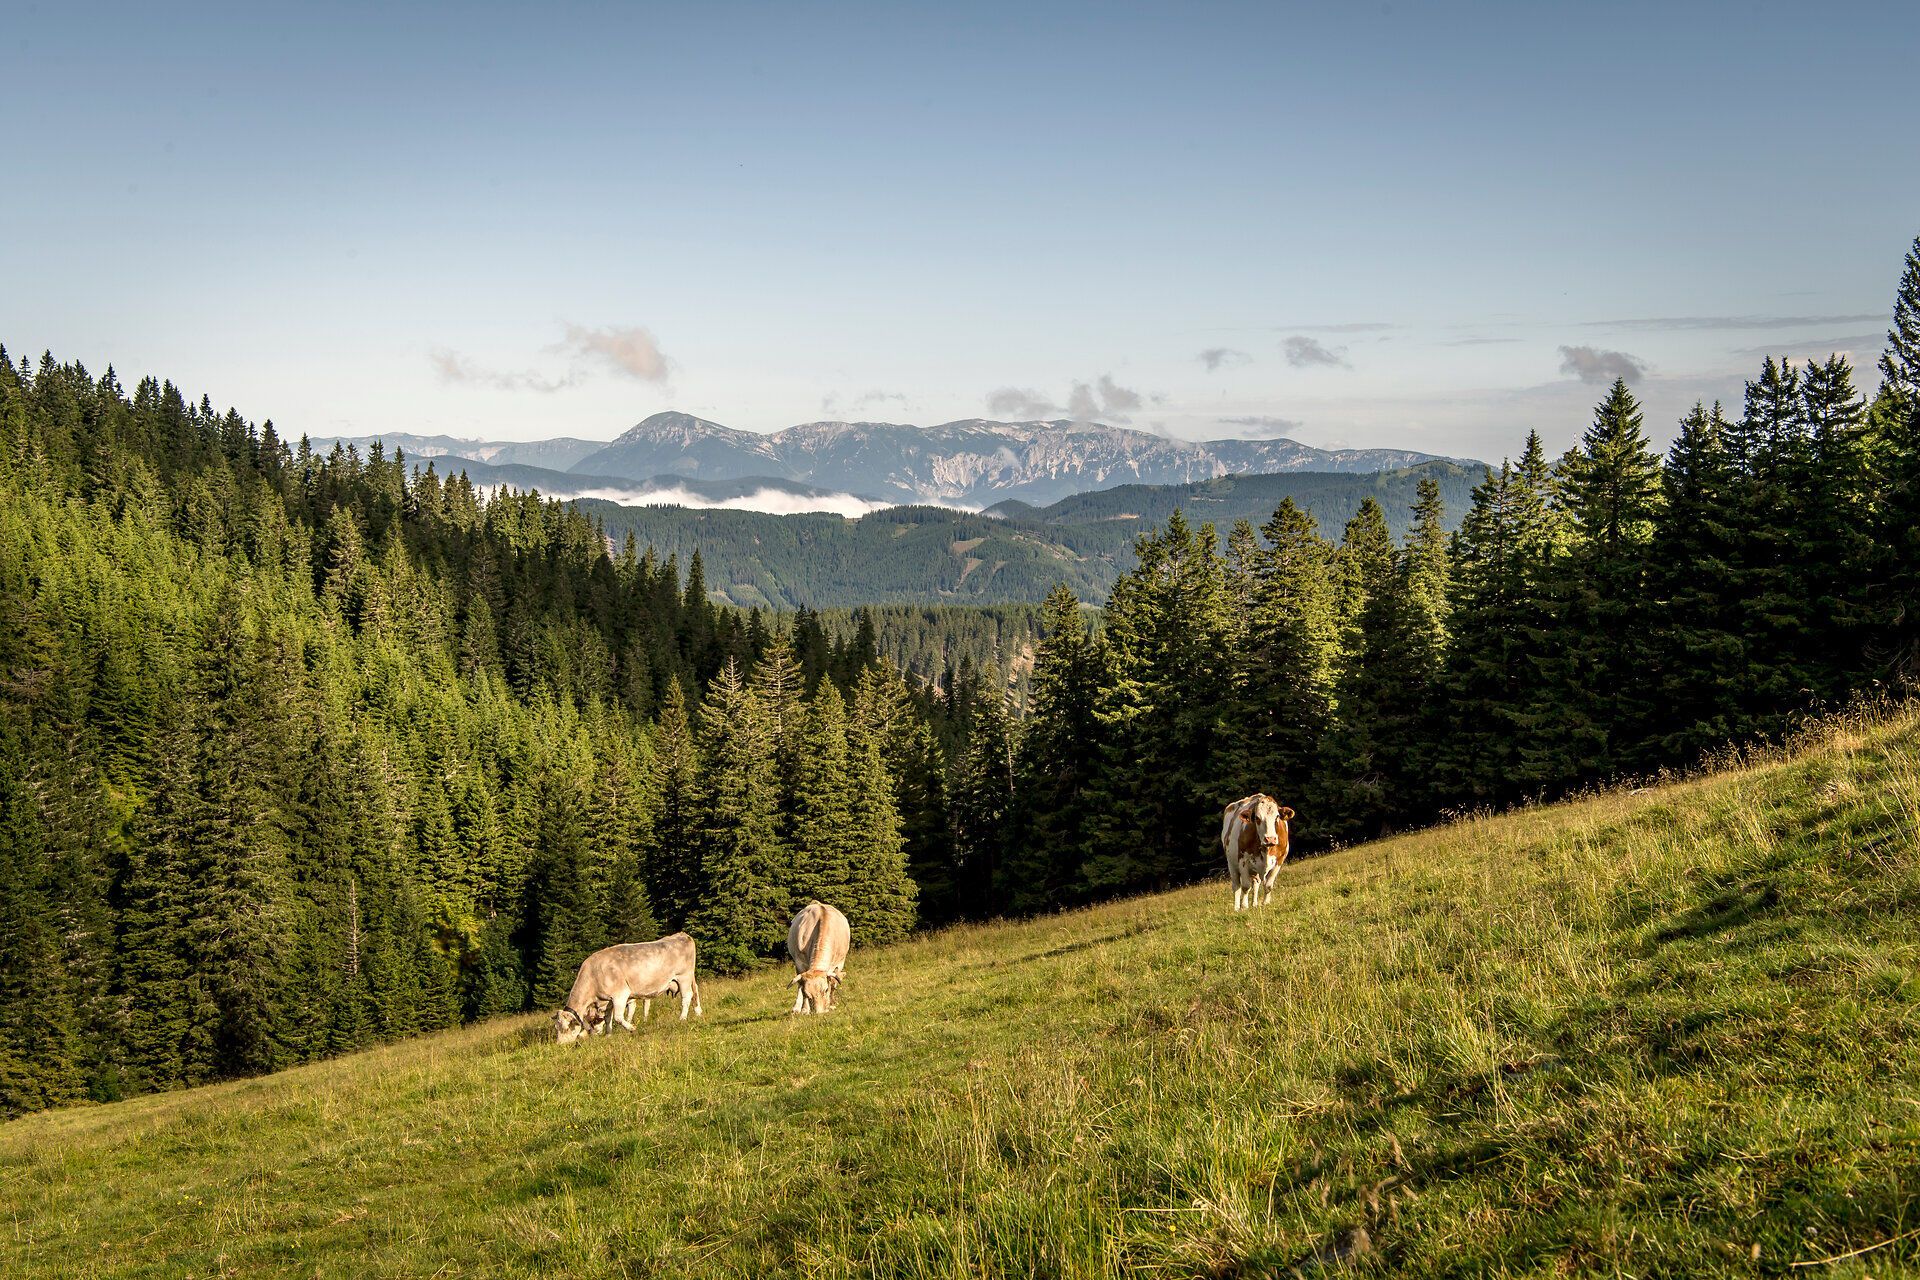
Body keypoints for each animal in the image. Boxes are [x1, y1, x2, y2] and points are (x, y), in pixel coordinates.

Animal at [554, 932, 703, 1045]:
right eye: (556, 1027)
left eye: (566, 1028)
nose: (560, 1045)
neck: (593, 975)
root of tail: (682, 935)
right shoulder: (608, 1000)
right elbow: (608, 1018)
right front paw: (608, 1035)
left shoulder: (620, 995)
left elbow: (619, 1017)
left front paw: (632, 1028)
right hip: (687, 978)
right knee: (695, 993)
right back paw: (698, 1013)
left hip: (683, 977)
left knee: (686, 997)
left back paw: (682, 1018)